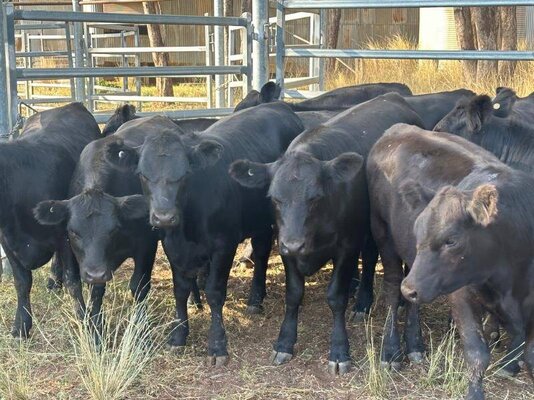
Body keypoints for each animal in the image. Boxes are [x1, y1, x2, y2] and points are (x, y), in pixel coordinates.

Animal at [0, 102, 100, 338]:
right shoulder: (6, 241)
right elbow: (21, 282)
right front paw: (21, 326)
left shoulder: (65, 234)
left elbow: (73, 280)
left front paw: (83, 321)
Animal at [104, 101, 306, 364]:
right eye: (142, 174)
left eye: (184, 174)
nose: (164, 217)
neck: (187, 227)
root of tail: (279, 105)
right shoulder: (171, 246)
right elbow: (180, 289)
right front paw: (178, 337)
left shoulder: (224, 245)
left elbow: (215, 292)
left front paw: (218, 345)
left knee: (261, 253)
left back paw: (255, 299)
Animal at [230, 92, 428, 374]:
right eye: (274, 198)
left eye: (315, 198)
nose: (295, 243)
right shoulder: (286, 248)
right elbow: (294, 294)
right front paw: (284, 342)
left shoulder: (347, 246)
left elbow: (336, 296)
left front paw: (339, 351)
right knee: (370, 258)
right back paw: (363, 303)